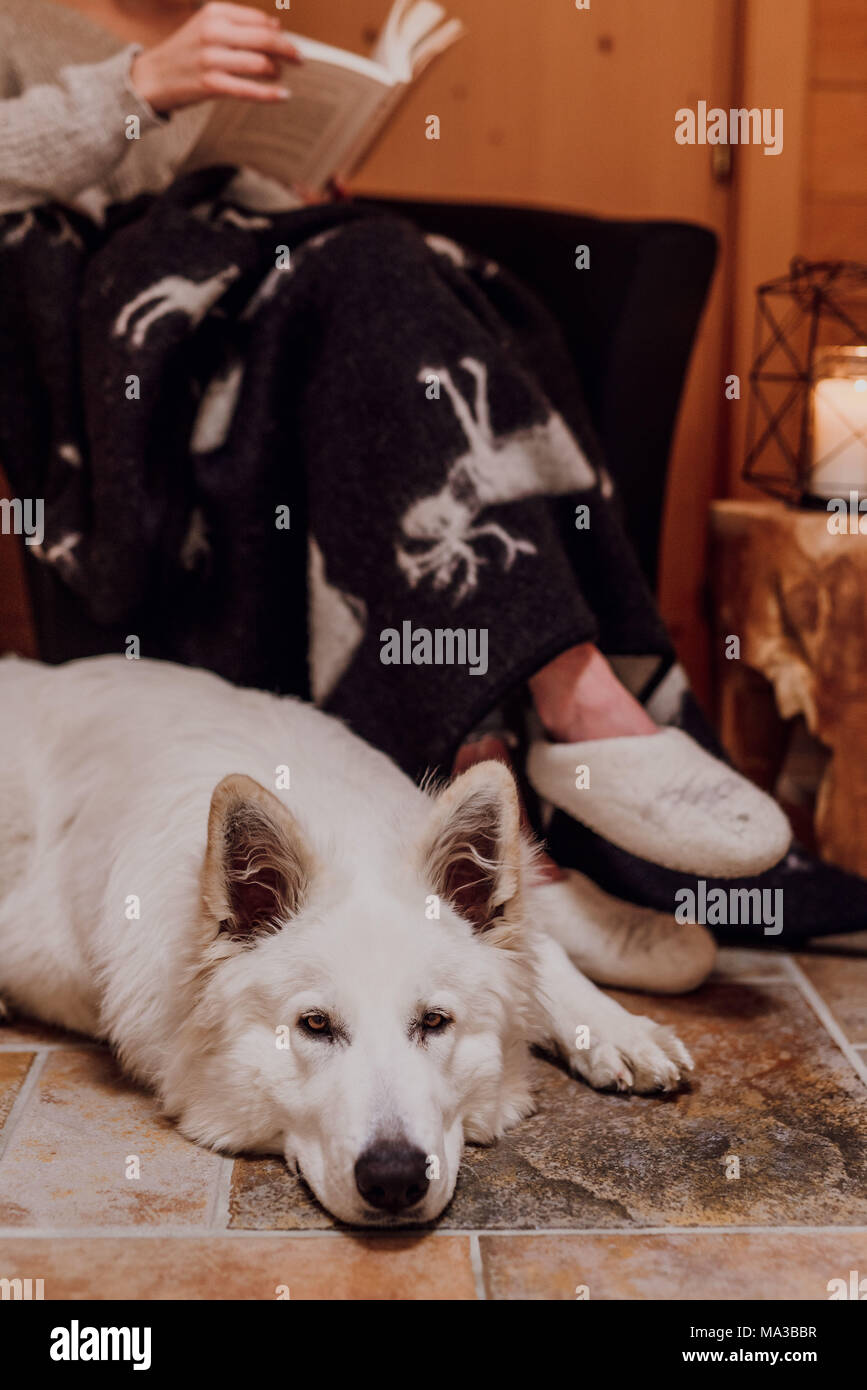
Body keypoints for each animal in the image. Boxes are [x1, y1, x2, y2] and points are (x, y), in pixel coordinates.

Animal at [0, 656, 694, 1223]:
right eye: (314, 1025)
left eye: (435, 1021)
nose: (394, 1180)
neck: (336, 822)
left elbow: (548, 951)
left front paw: (618, 1027)